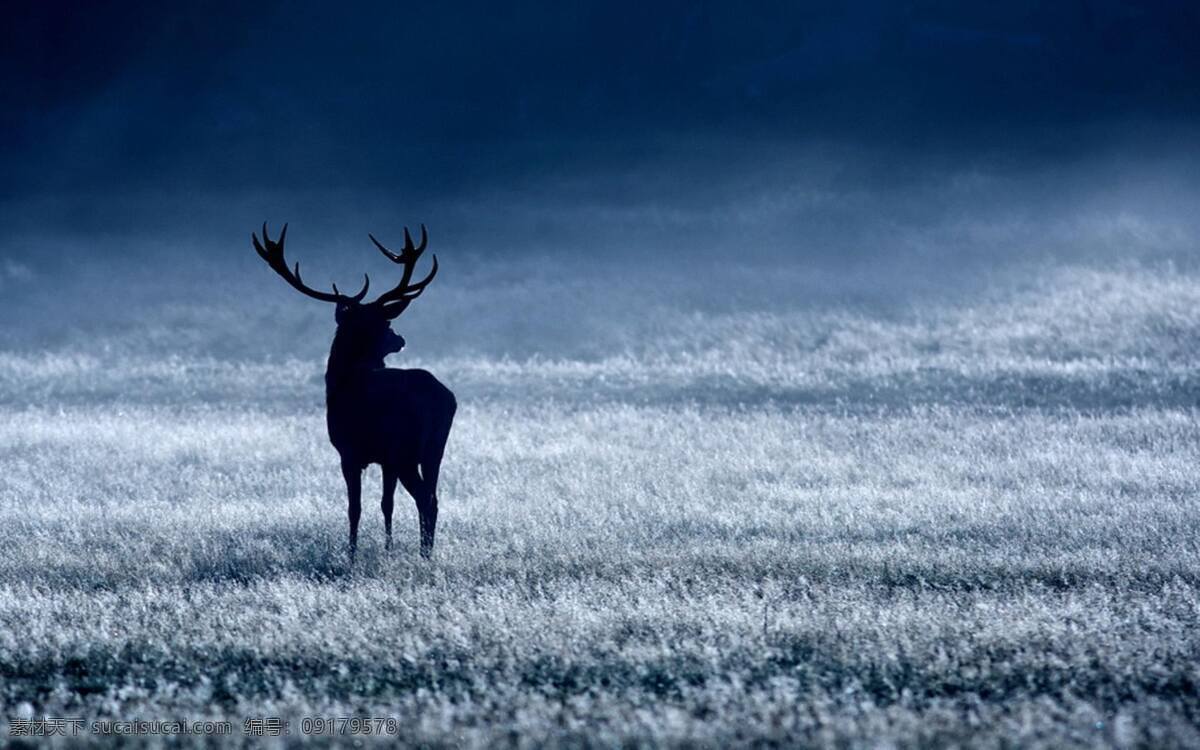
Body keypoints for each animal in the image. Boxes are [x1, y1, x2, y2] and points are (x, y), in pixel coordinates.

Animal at [252, 225, 453, 559]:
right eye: (385, 322)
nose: (399, 339)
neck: (342, 380)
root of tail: (443, 399)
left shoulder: (348, 451)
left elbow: (354, 508)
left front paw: (352, 554)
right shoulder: (384, 459)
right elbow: (387, 504)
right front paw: (387, 547)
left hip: (405, 448)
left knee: (425, 498)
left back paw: (424, 554)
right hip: (434, 448)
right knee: (433, 497)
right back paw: (427, 552)